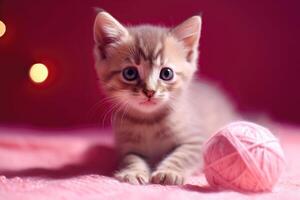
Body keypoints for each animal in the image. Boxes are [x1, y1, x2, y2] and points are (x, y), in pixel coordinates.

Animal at [92, 10, 236, 185]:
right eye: (130, 73)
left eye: (166, 73)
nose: (150, 91)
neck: (148, 123)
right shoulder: (125, 147)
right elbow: (131, 158)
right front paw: (133, 172)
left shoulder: (197, 142)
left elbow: (182, 156)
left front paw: (169, 171)